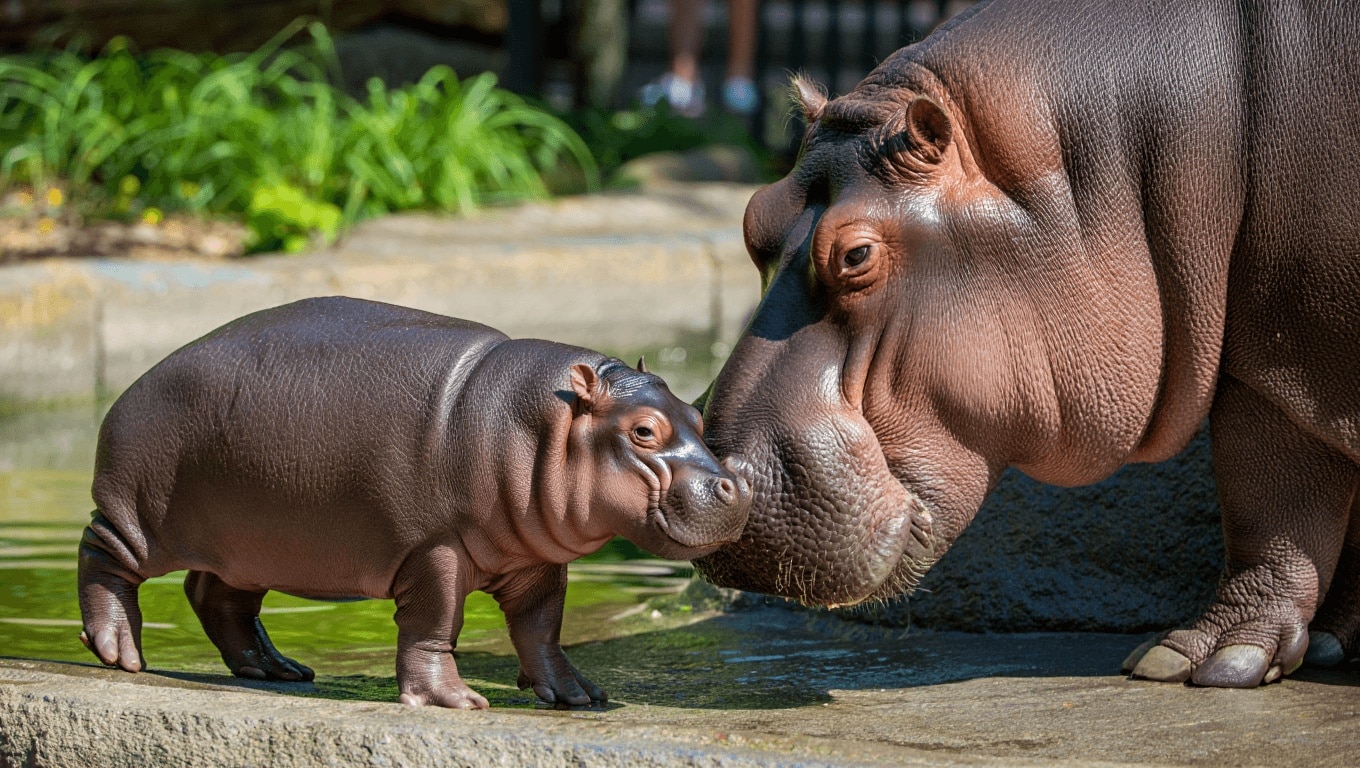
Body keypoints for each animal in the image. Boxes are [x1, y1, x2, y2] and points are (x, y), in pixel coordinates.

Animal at [77, 296, 751, 708]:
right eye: (644, 431)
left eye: (695, 414)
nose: (736, 484)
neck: (541, 422)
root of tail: (136, 383)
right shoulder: (435, 547)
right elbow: (434, 623)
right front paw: (455, 701)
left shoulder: (534, 558)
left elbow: (541, 627)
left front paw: (578, 694)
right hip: (141, 516)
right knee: (102, 555)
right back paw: (120, 654)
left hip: (248, 544)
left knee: (217, 597)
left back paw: (277, 670)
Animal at [695, 0, 1360, 688]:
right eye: (753, 217)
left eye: (855, 255)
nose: (706, 473)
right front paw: (1316, 643)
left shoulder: (1288, 357)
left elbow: (1271, 499)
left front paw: (1198, 659)